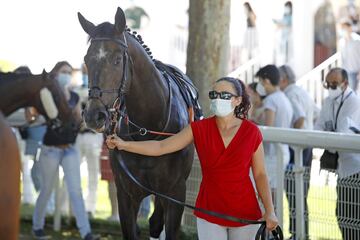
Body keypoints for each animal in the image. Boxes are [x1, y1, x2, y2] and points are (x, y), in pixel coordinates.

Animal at [79, 6, 201, 239]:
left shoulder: (175, 194)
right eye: (87, 59)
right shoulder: (126, 194)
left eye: (117, 59)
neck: (149, 130)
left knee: (155, 222)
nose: (93, 115)